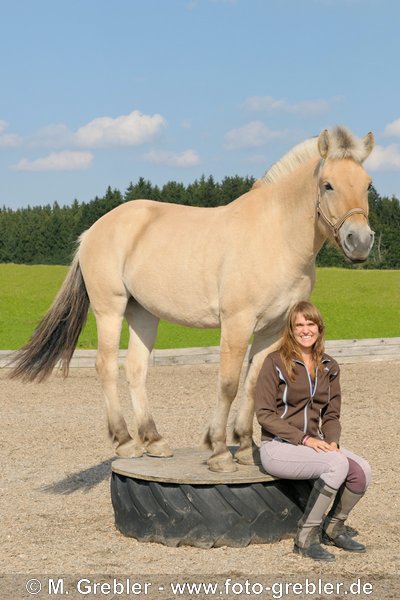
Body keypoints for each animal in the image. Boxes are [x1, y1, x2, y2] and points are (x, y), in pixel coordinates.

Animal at [8, 125, 376, 474]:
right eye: (328, 185)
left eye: (368, 185)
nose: (359, 241)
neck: (275, 235)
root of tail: (94, 230)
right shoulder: (237, 323)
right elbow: (228, 384)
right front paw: (218, 452)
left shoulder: (272, 329)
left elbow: (254, 383)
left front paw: (246, 448)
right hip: (109, 309)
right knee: (107, 366)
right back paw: (126, 441)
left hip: (143, 314)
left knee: (136, 368)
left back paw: (154, 440)